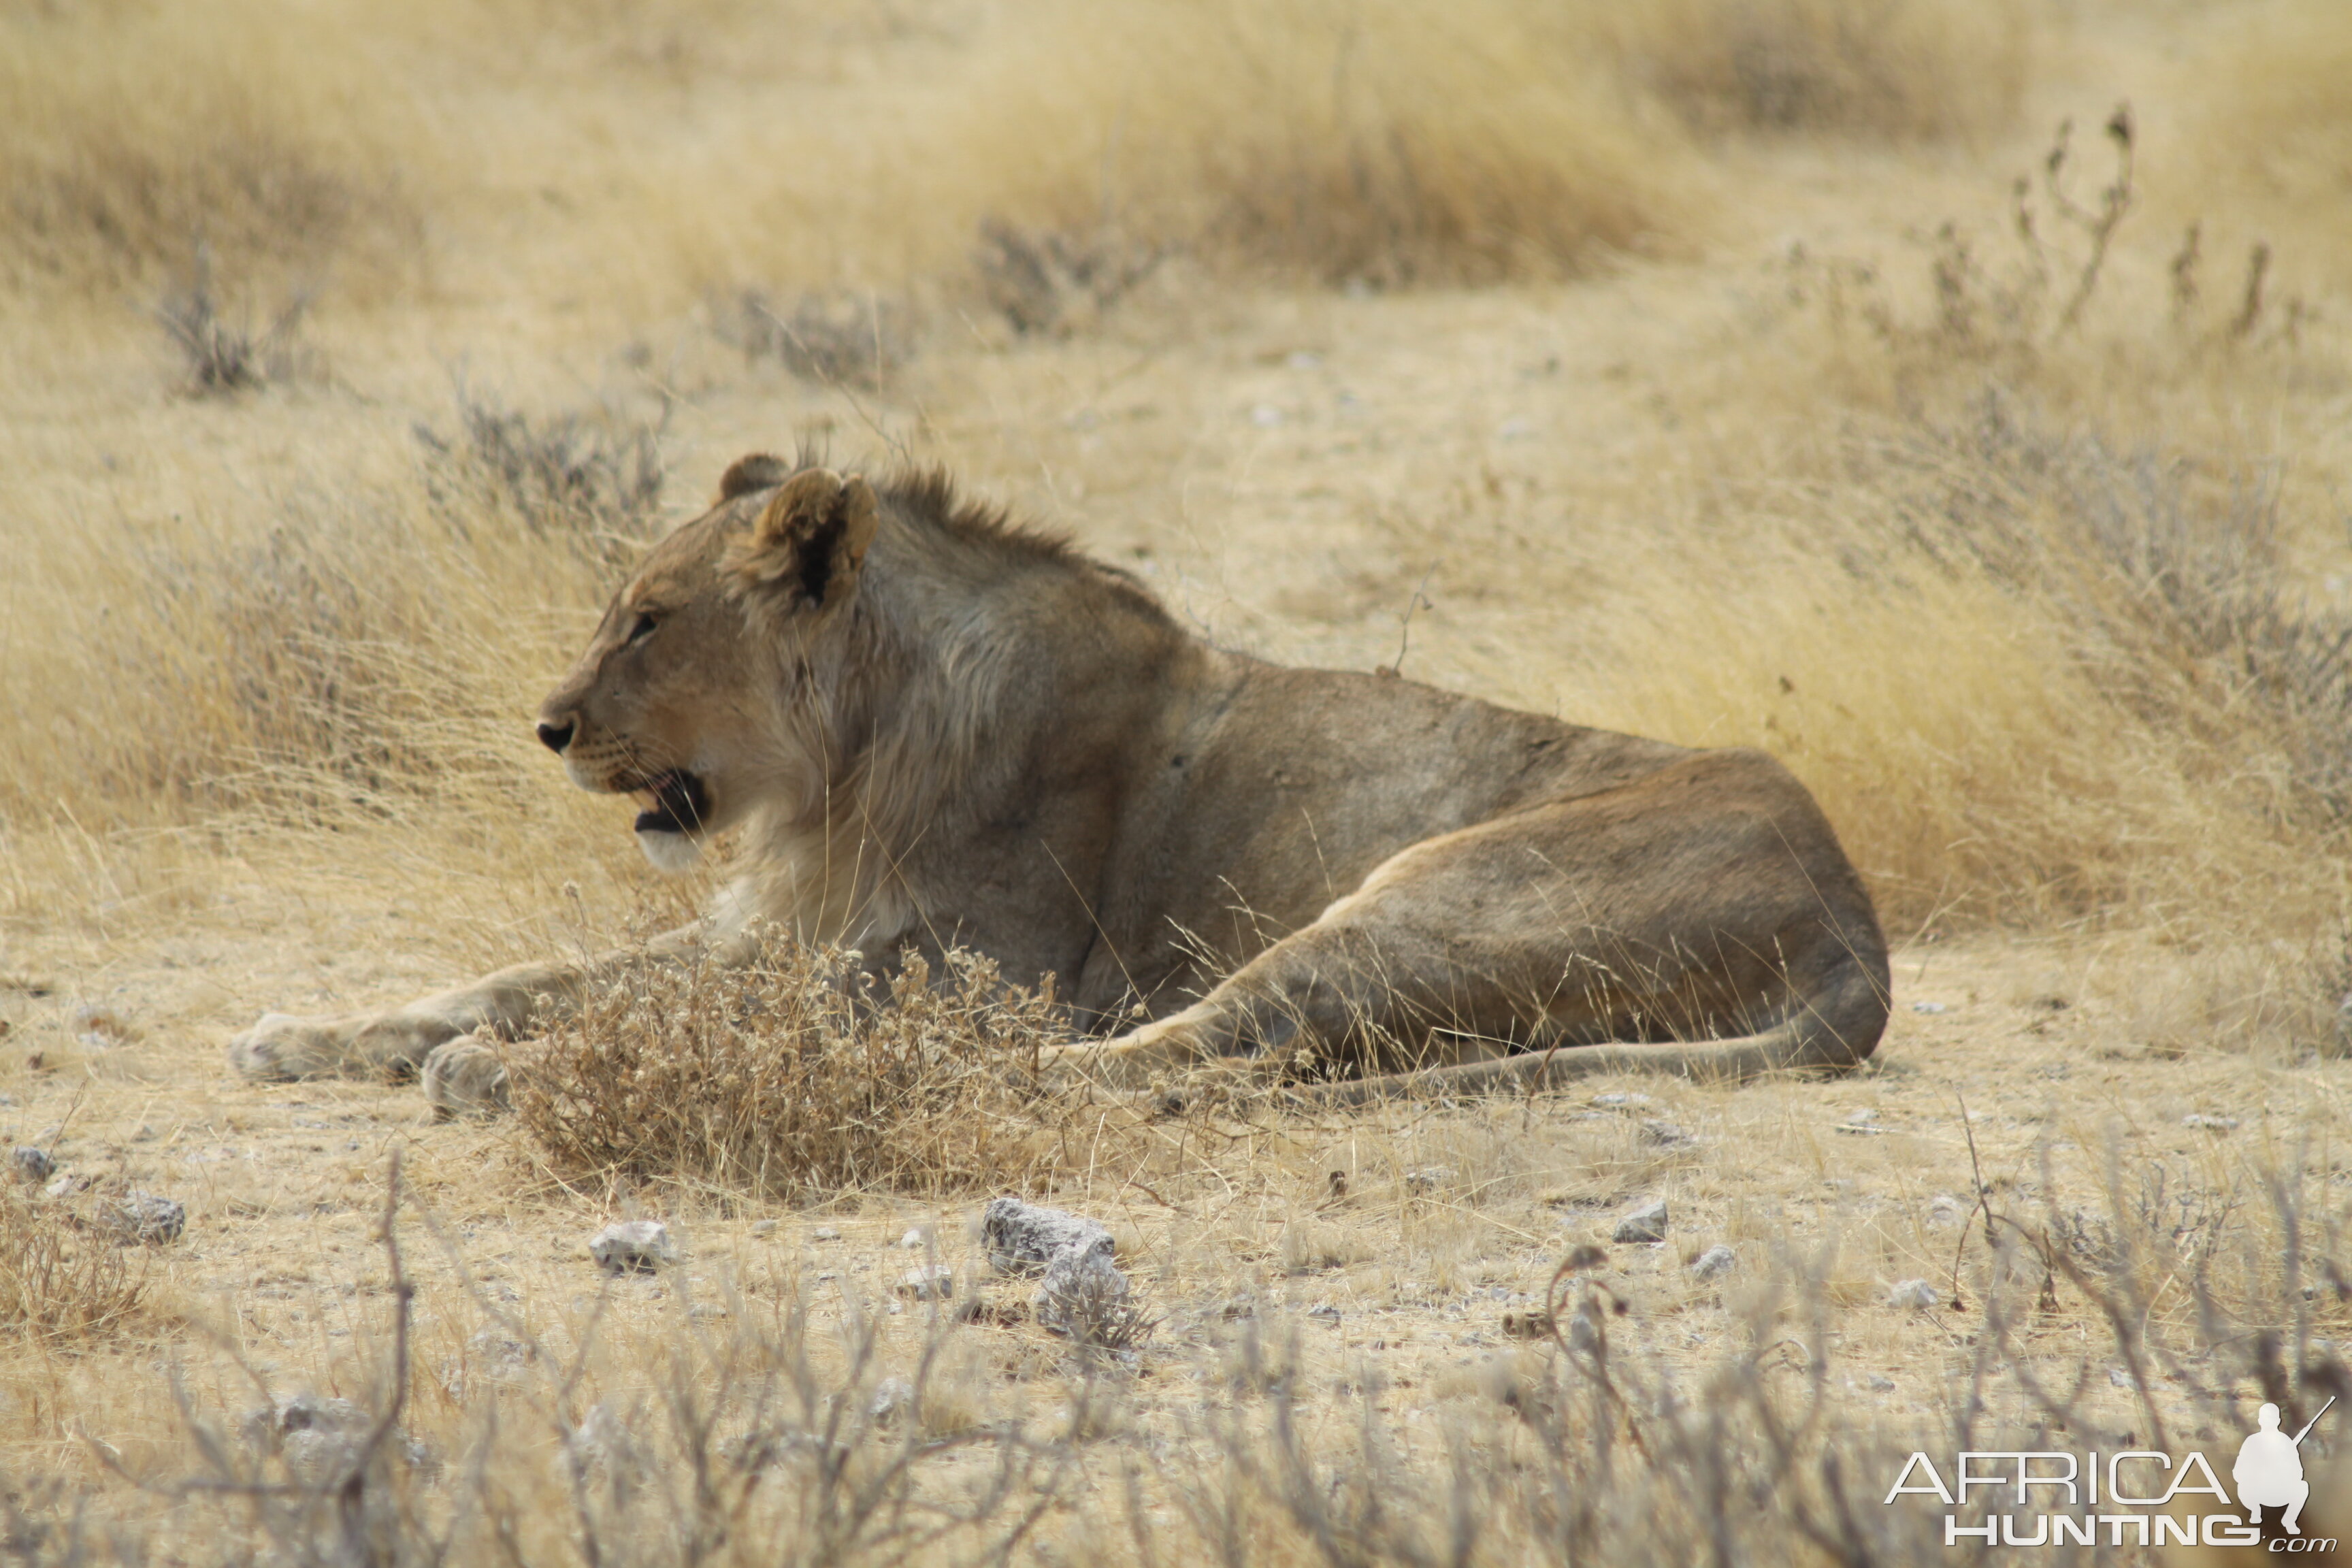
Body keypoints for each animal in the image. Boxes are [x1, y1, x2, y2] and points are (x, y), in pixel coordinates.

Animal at [229, 456, 1891, 1114]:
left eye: (647, 621)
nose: (547, 727)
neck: (844, 768)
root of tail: (1856, 929)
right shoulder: (765, 929)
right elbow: (523, 977)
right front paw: (310, 1031)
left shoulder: (967, 969)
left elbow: (711, 1025)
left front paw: (500, 1070)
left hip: (1432, 891)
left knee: (1184, 1047)